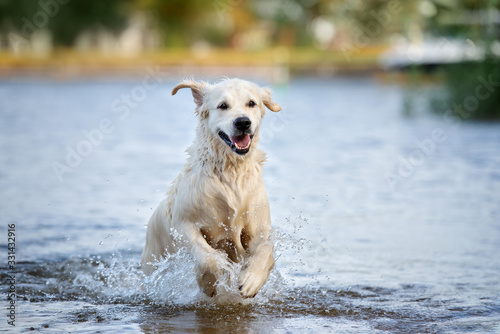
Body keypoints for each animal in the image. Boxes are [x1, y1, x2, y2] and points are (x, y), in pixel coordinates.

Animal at [141, 78, 282, 298]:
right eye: (223, 106)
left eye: (251, 103)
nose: (242, 122)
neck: (230, 171)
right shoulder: (183, 224)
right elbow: (207, 256)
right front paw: (209, 282)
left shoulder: (258, 228)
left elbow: (266, 248)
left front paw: (251, 280)